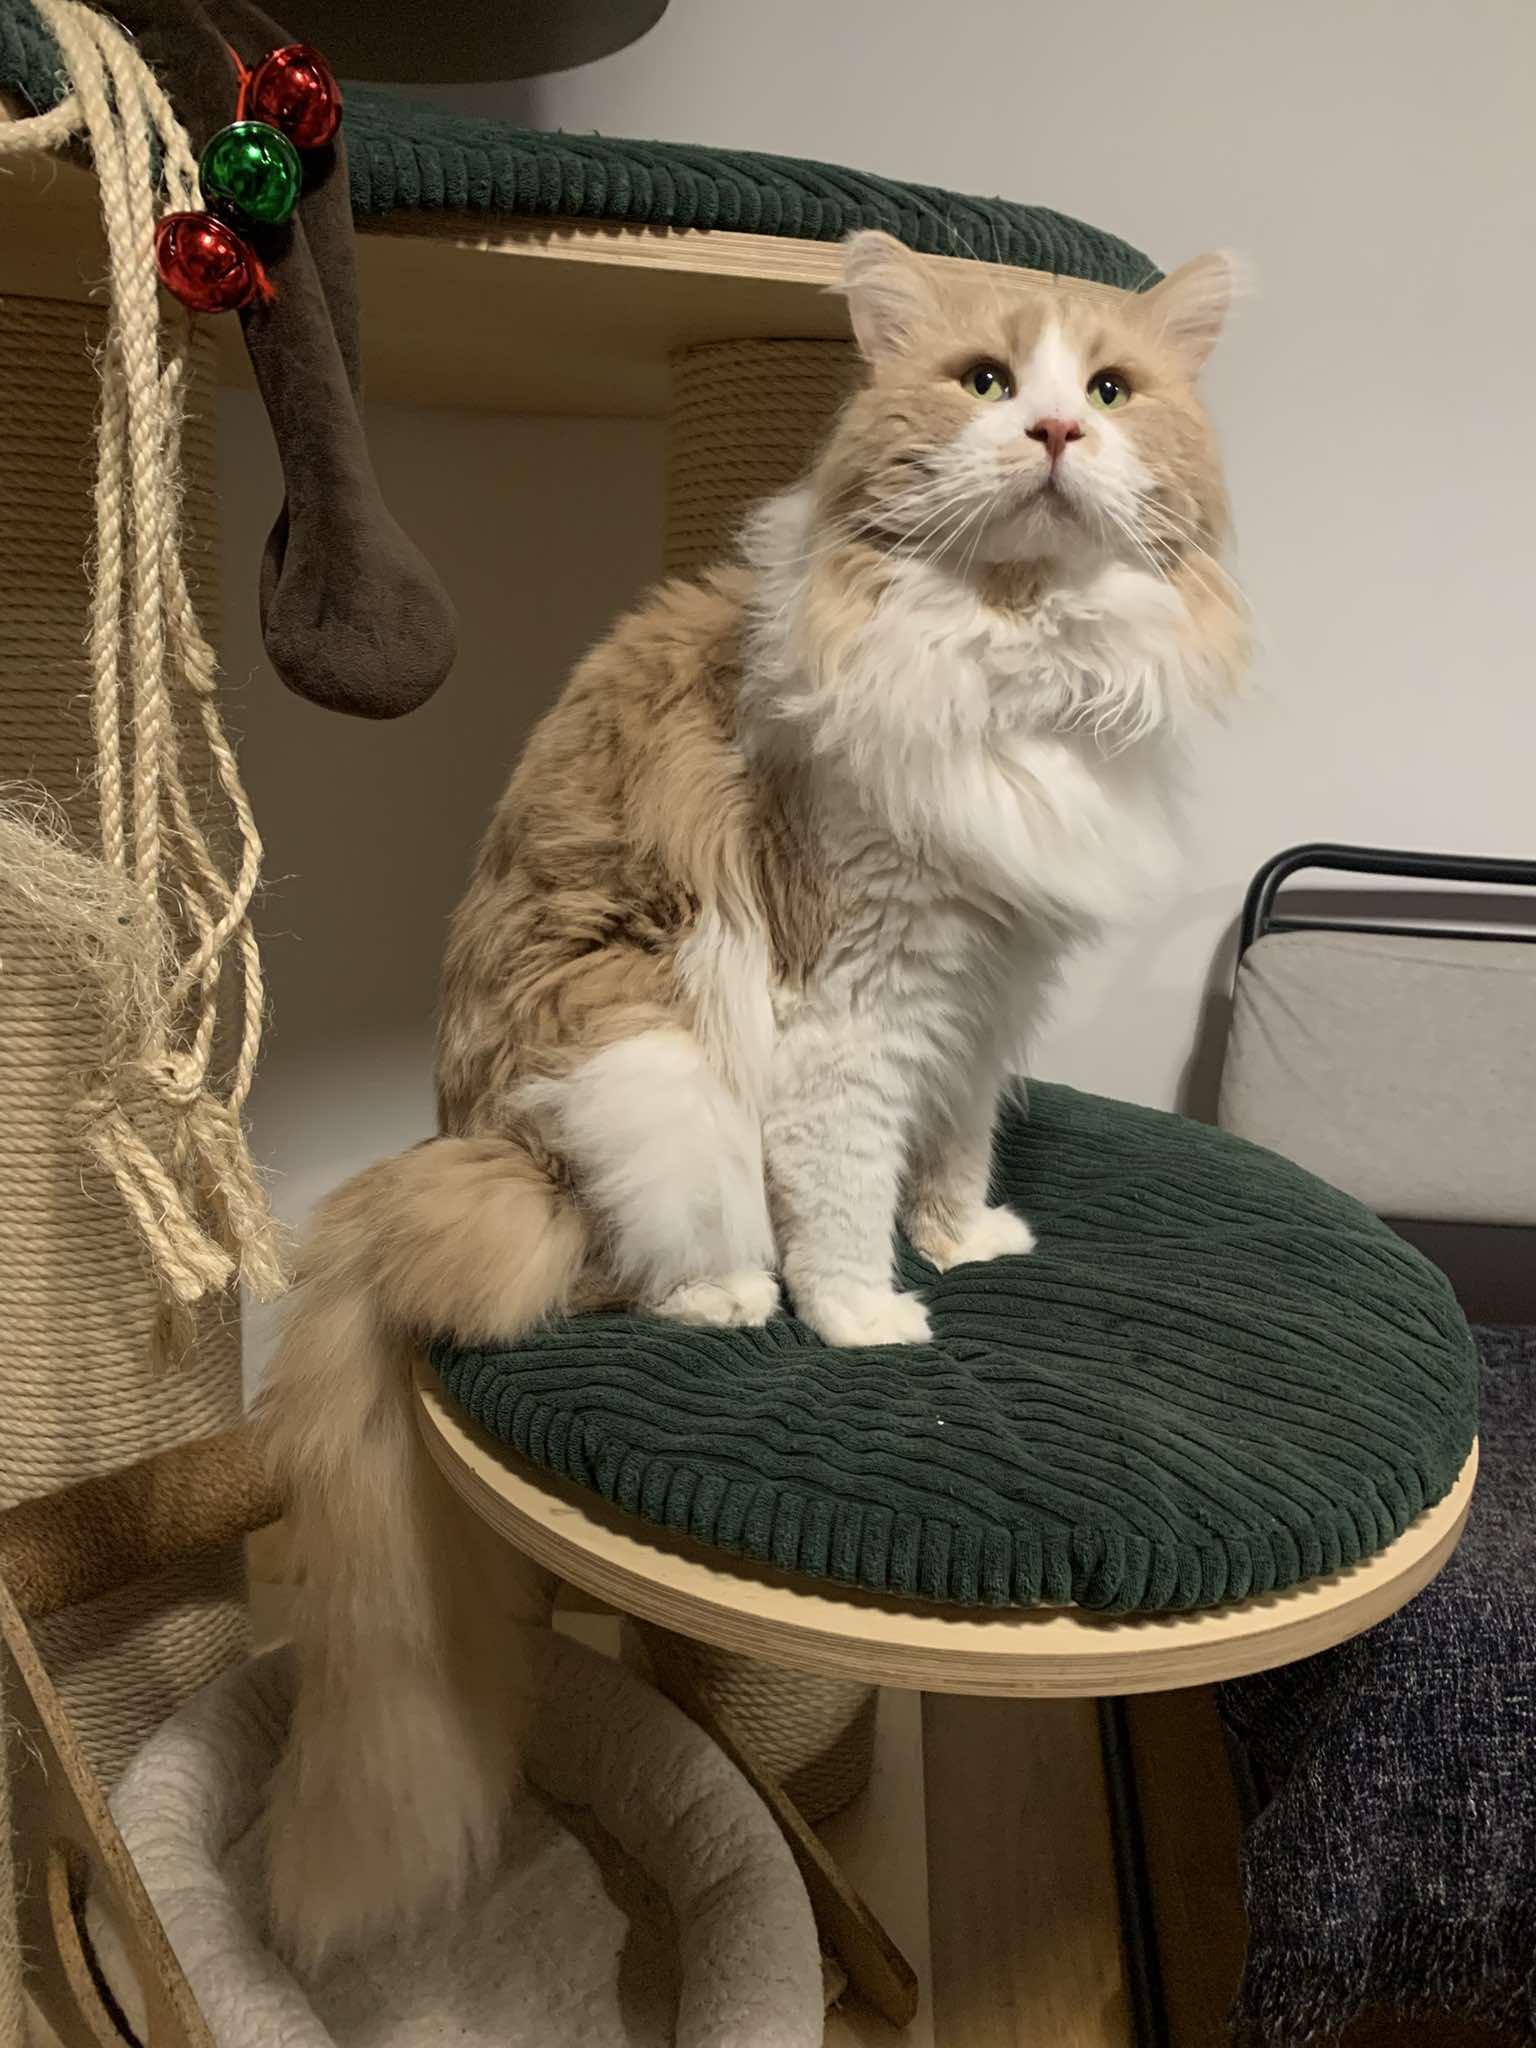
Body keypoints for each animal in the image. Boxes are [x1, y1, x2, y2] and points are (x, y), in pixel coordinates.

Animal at [260, 228, 1247, 1964]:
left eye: (1115, 391)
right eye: (986, 381)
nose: (1060, 433)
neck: (1019, 651)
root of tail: (457, 1154)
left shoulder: (984, 993)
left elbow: (954, 1144)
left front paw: (968, 1238)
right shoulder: (856, 992)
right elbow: (845, 1186)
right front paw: (865, 1320)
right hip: (651, 1073)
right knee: (645, 1260)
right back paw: (735, 1297)